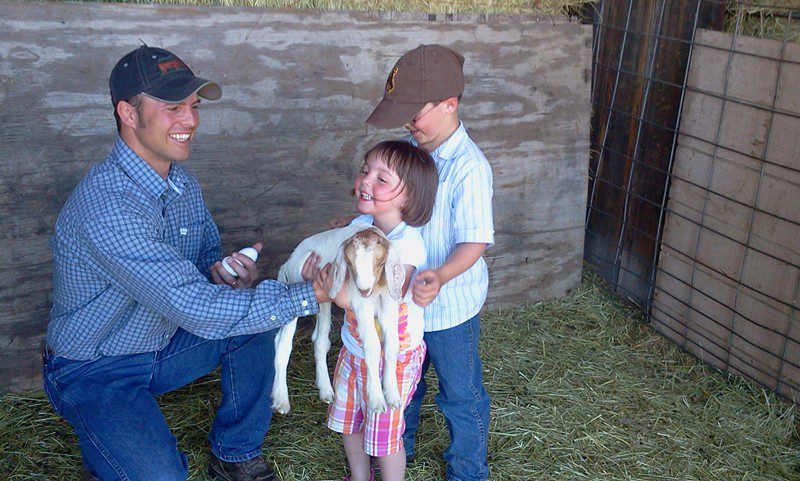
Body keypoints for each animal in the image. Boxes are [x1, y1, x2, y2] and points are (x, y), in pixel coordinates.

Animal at [271, 223, 406, 414]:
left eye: (381, 263)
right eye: (349, 264)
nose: (364, 290)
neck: (376, 290)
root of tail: (288, 262)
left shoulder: (388, 301)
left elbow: (392, 344)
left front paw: (393, 396)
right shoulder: (360, 303)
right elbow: (372, 346)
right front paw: (376, 400)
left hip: (322, 298)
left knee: (320, 340)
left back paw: (326, 390)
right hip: (294, 288)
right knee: (282, 342)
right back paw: (281, 400)